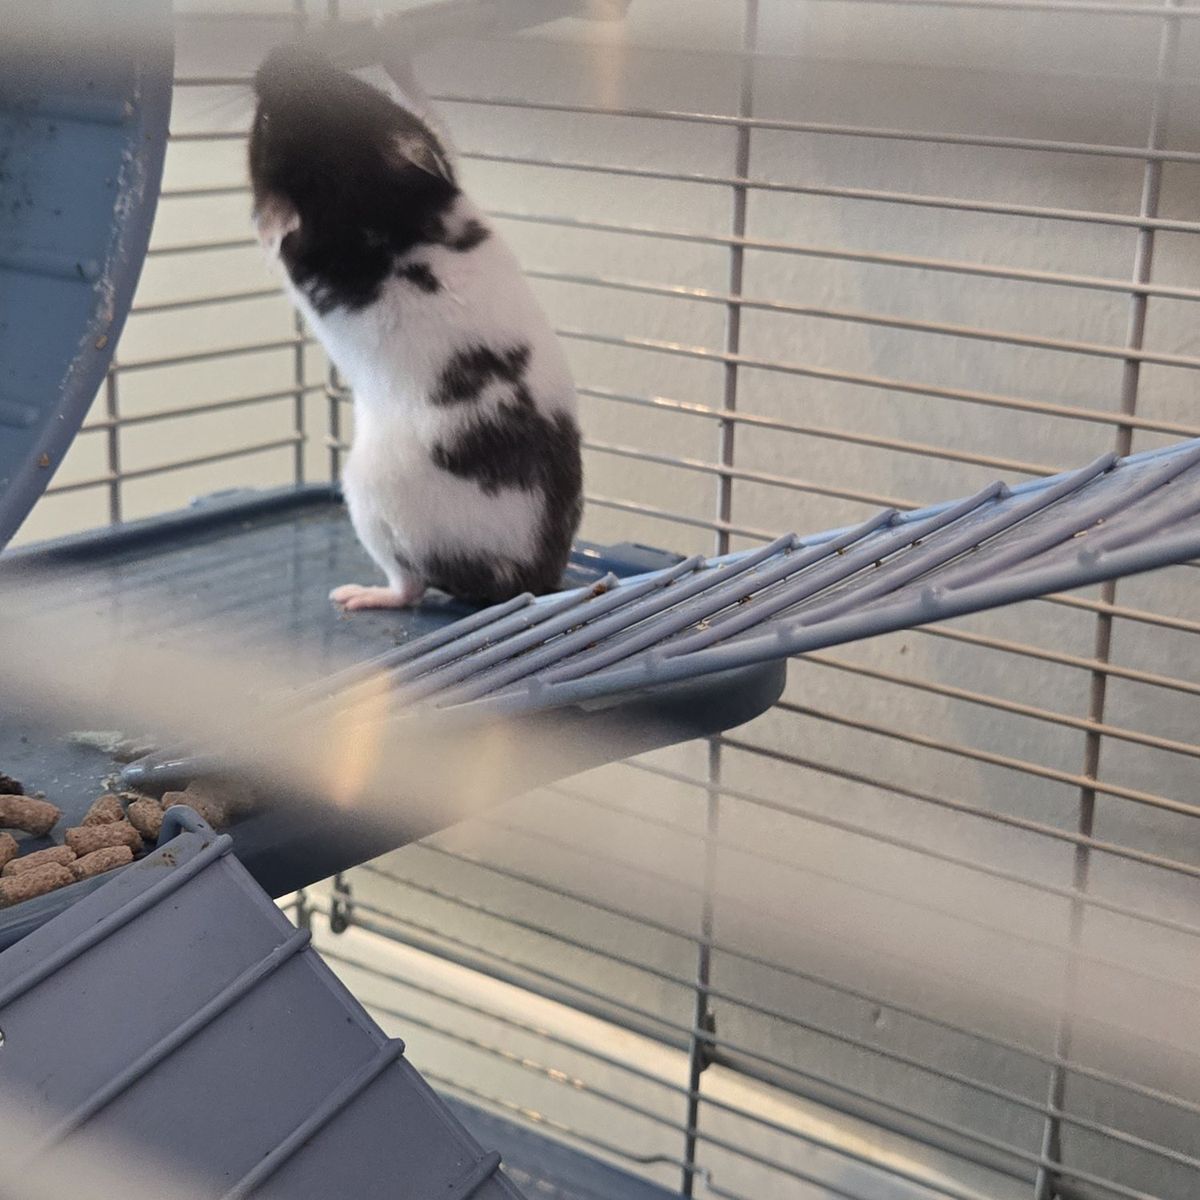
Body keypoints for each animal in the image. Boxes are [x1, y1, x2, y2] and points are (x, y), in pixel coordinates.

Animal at [248, 44, 583, 610]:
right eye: (354, 88)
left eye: (266, 123)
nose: (276, 54)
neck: (370, 194)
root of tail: (530, 580)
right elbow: (430, 114)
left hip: (370, 499)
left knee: (411, 585)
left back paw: (355, 595)